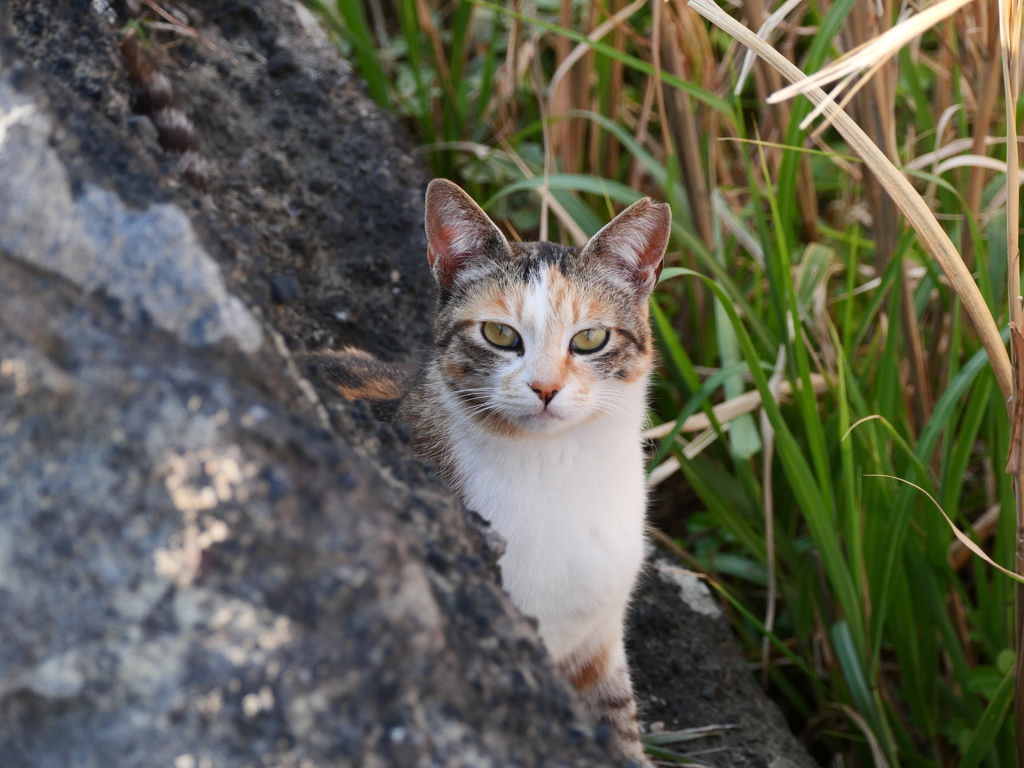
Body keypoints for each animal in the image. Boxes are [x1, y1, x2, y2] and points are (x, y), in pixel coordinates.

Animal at [319, 182, 671, 768]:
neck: (559, 471)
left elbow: (620, 731)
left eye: (590, 339)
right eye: (500, 334)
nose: (546, 388)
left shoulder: (598, 645)